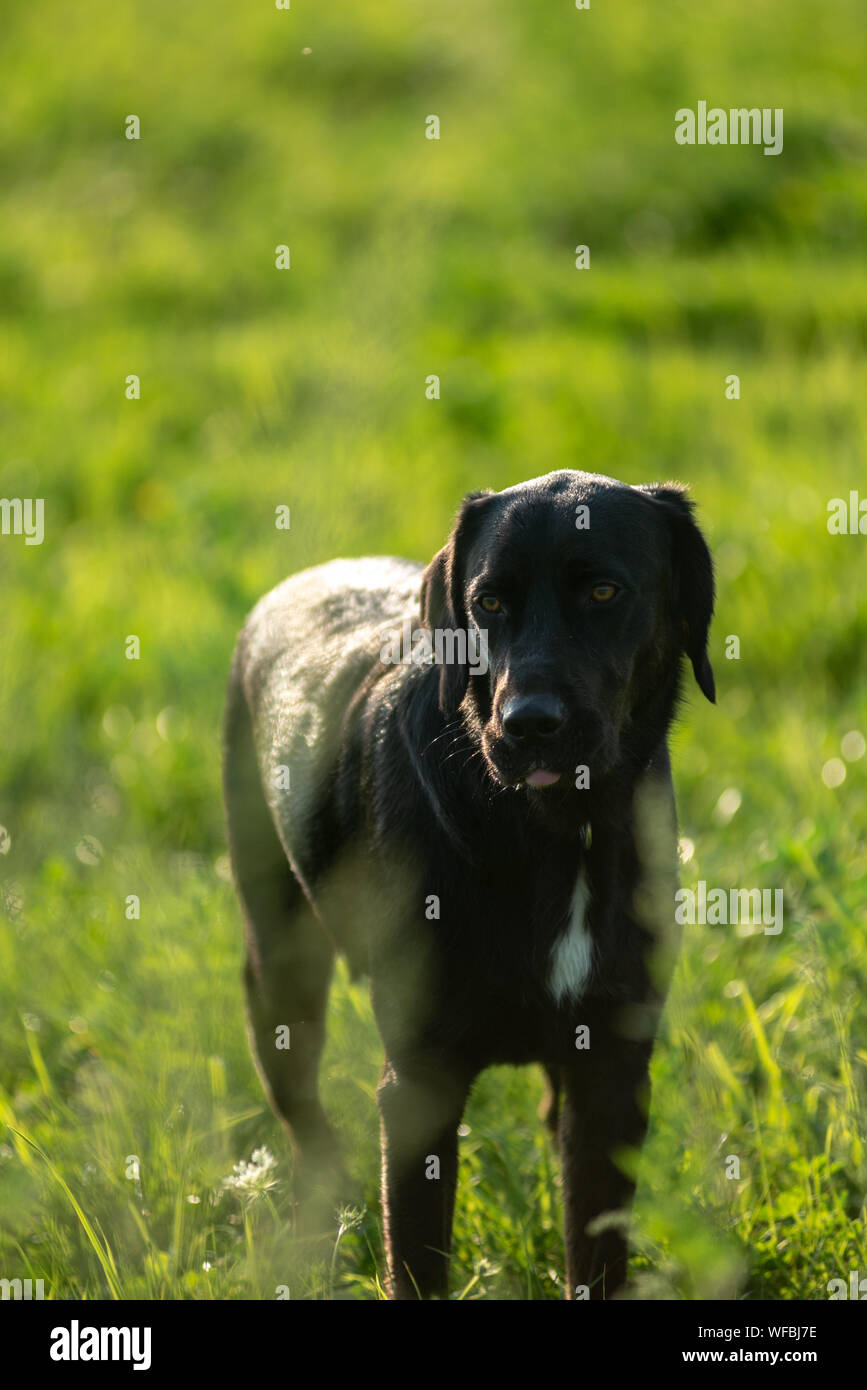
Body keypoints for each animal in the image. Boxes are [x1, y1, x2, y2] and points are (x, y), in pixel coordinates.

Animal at [223, 472, 716, 1295]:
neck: (556, 832)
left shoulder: (614, 1068)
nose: (528, 724)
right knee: (302, 1116)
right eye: (488, 603)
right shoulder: (417, 1087)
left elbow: (596, 1246)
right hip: (278, 967)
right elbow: (417, 1264)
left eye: (604, 591)